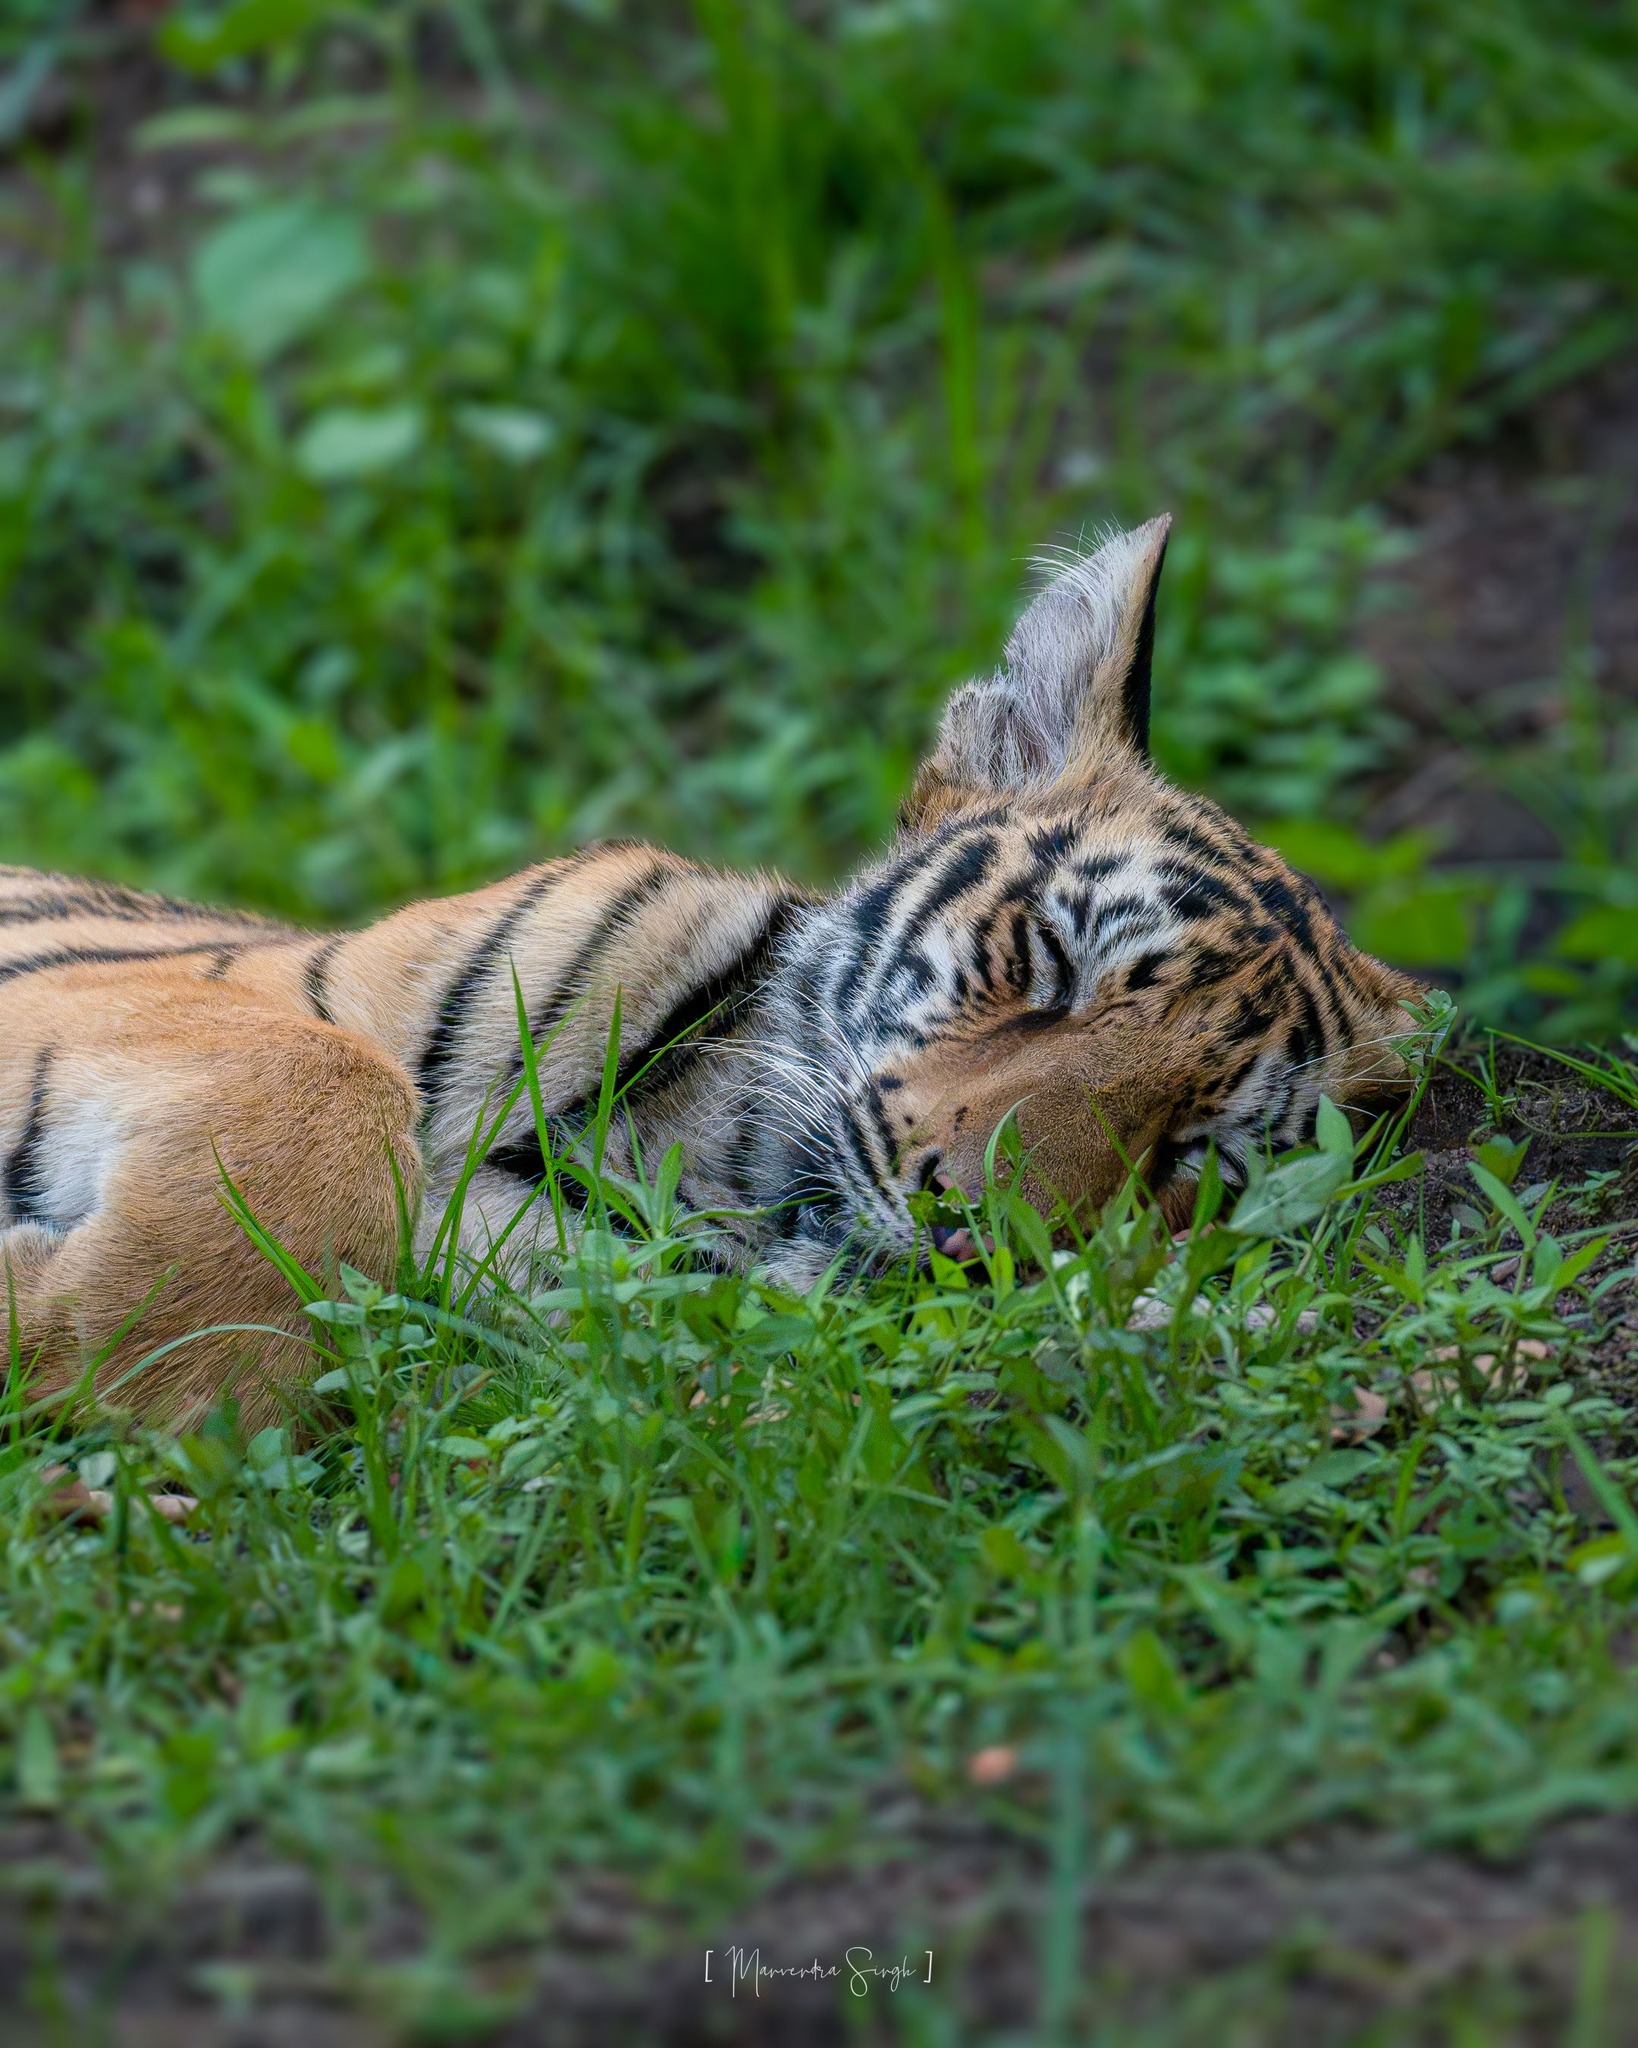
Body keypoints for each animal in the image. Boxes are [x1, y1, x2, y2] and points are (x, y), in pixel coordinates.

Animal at [0, 518, 1420, 1427]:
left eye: (1193, 1151)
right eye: (1048, 964)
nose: (970, 1230)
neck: (710, 1155)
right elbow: (322, 1077)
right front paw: (152, 1355)